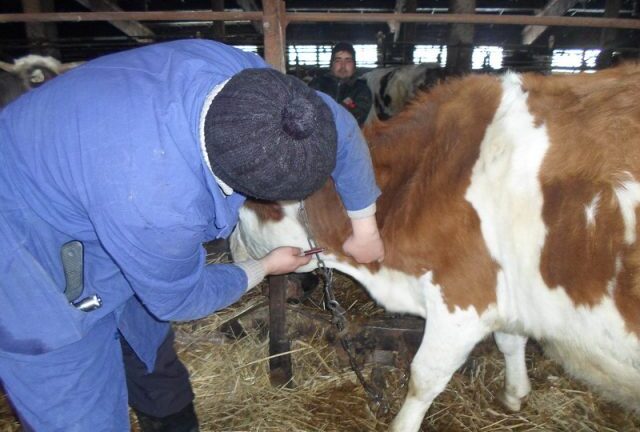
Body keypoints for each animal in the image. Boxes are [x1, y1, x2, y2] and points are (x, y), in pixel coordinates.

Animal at [232, 65, 640, 432]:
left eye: (247, 207)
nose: (231, 247)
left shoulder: (462, 298)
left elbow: (424, 375)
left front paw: (401, 426)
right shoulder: (502, 295)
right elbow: (510, 341)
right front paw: (514, 393)